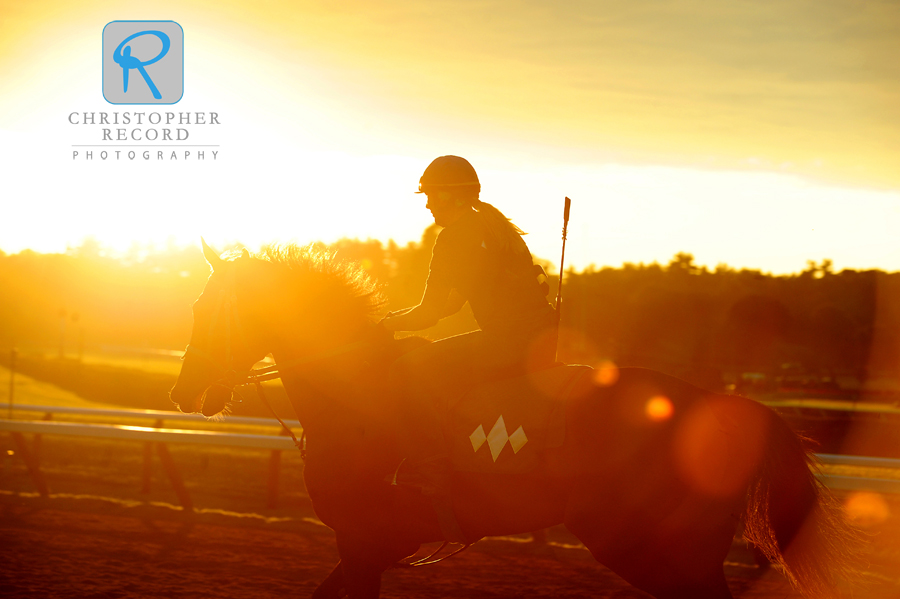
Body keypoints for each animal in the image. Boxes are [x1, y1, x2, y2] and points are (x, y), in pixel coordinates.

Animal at [171, 241, 864, 596]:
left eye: (207, 308)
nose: (182, 391)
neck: (358, 394)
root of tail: (725, 406)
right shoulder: (370, 545)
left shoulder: (364, 540)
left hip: (657, 548)